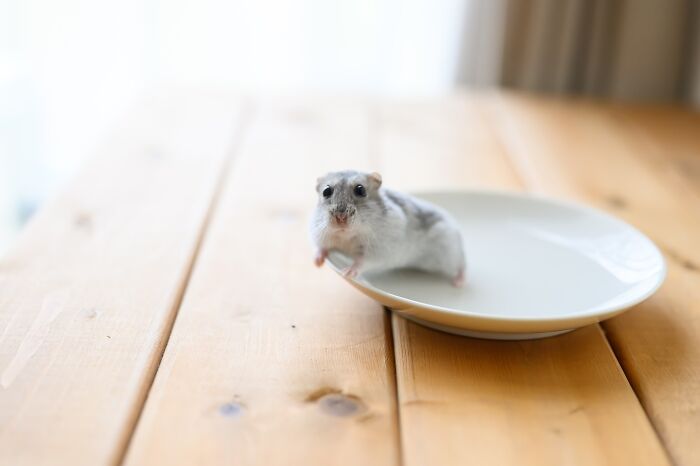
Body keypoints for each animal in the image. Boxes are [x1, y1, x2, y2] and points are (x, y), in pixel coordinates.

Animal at [310, 170, 466, 287]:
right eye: (326, 191)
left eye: (360, 190)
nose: (341, 219)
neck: (347, 235)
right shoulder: (320, 235)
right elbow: (322, 248)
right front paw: (316, 262)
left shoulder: (379, 252)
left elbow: (362, 262)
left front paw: (347, 272)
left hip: (450, 253)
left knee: (462, 265)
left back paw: (459, 282)